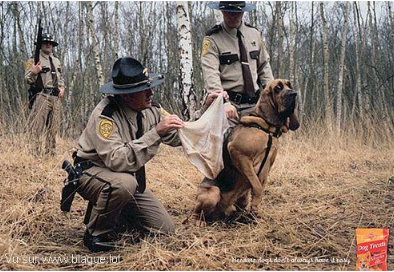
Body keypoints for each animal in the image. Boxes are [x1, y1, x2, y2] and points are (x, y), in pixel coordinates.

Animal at [195, 78, 300, 221]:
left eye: (290, 85)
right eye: (277, 88)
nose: (294, 94)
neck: (266, 130)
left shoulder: (266, 166)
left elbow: (260, 187)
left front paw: (256, 213)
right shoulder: (239, 154)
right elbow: (257, 186)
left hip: (242, 198)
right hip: (213, 193)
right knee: (197, 213)